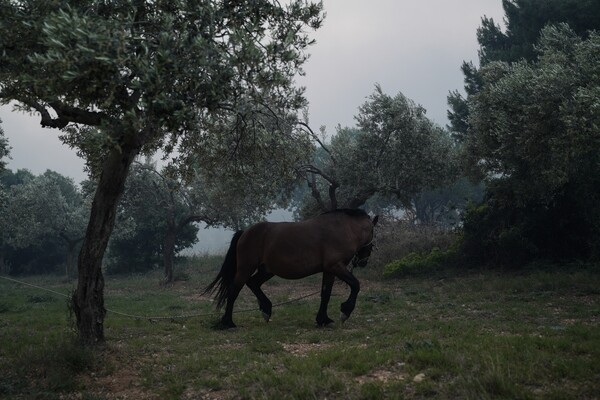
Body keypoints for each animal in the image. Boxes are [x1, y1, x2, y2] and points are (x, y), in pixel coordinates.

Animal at [204, 209, 378, 328]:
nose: (363, 261)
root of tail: (245, 232)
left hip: (267, 270)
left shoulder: (329, 271)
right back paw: (228, 322)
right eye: (373, 233)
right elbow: (355, 285)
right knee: (233, 291)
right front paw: (345, 311)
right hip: (245, 268)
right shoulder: (335, 266)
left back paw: (266, 309)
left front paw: (323, 320)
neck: (343, 229)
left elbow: (325, 295)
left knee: (253, 283)